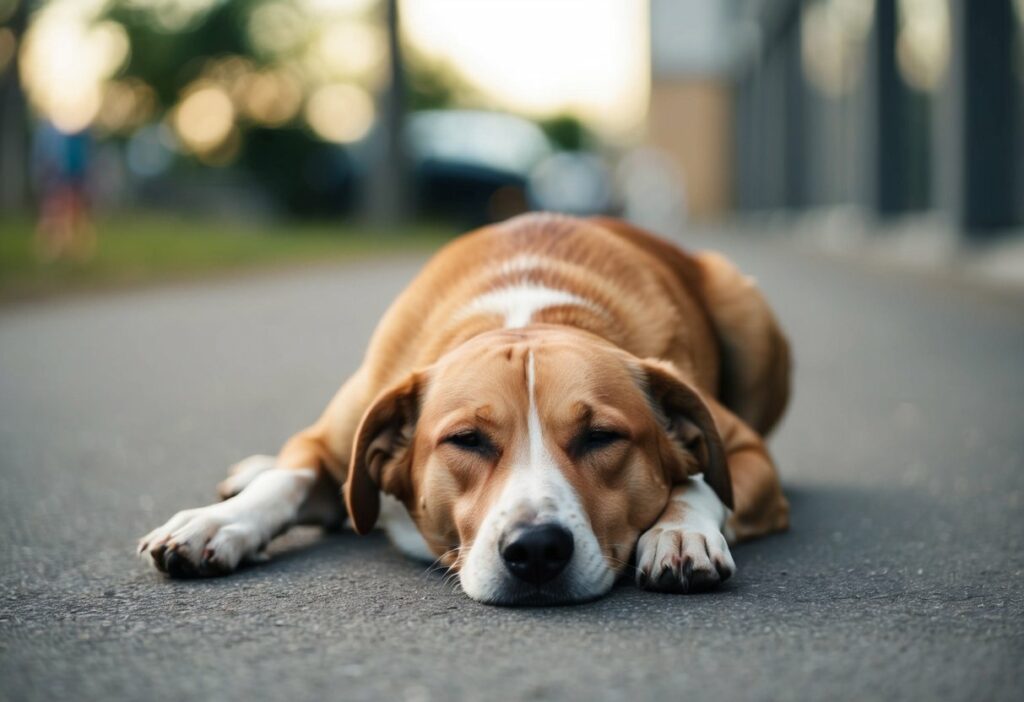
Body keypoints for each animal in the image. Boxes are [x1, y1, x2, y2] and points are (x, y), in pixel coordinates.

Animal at [138, 214, 790, 605]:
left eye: (602, 437)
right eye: (466, 440)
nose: (537, 549)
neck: (528, 312)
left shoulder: (749, 451)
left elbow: (703, 480)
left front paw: (680, 533)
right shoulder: (331, 442)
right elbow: (288, 480)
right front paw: (215, 522)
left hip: (745, 302)